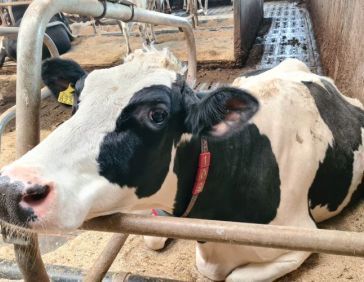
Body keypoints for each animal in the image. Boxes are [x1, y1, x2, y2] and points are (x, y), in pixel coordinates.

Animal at [0, 49, 364, 280]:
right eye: (77, 98)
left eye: (158, 115)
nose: (9, 189)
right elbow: (154, 237)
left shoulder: (301, 239)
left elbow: (233, 277)